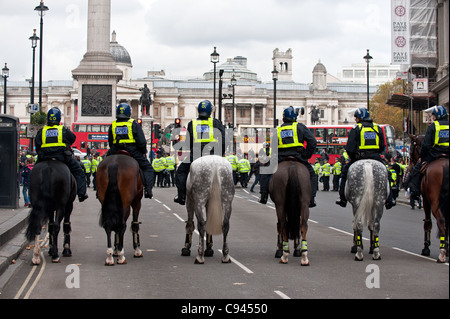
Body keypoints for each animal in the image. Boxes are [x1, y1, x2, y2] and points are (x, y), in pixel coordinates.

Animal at [410, 134, 448, 262]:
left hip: (434, 201)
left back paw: (442, 253)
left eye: (411, 149)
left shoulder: (426, 201)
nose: (410, 166)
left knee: (441, 220)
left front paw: (426, 248)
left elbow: (427, 223)